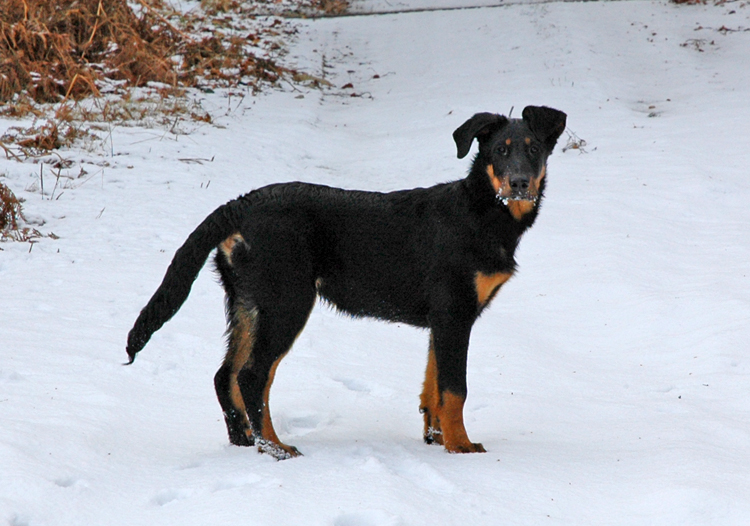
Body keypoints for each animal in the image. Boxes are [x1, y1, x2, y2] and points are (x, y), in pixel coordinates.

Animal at [126, 105, 568, 460]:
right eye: (500, 151)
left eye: (534, 149)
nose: (519, 184)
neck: (482, 211)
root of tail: (240, 204)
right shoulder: (455, 312)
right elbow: (454, 389)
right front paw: (461, 448)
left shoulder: (441, 321)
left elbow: (433, 387)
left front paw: (437, 439)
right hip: (287, 302)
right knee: (252, 376)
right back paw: (277, 449)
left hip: (249, 303)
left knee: (227, 376)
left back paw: (246, 443)